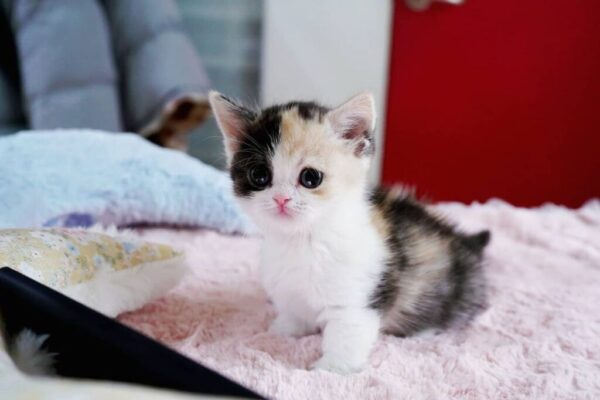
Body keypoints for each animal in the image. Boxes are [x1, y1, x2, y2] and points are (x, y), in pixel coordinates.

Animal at [210, 92, 488, 374]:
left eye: (310, 178)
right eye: (259, 175)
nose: (281, 199)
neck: (305, 241)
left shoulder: (356, 301)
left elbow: (346, 335)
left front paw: (330, 369)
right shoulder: (288, 287)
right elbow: (294, 311)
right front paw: (283, 331)